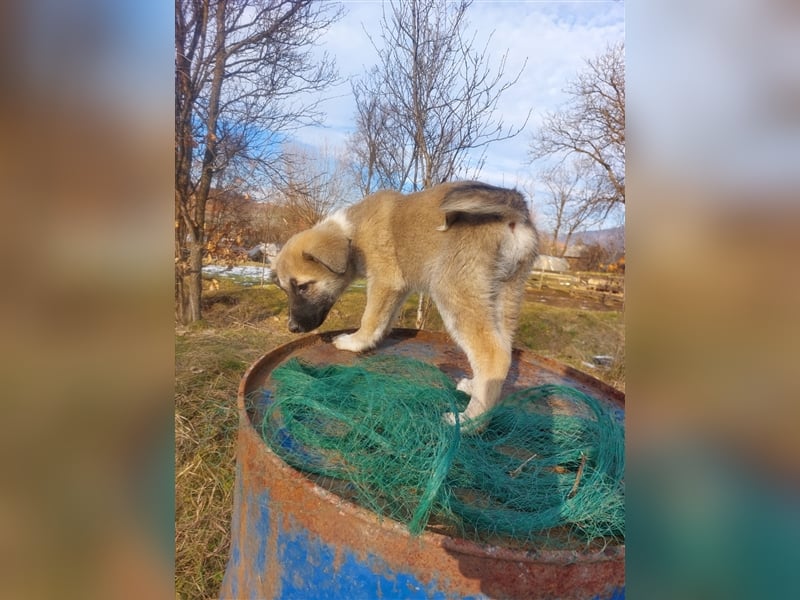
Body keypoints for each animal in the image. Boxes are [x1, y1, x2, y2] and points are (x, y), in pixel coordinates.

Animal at [272, 180, 540, 424]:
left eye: (303, 287)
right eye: (285, 290)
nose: (292, 328)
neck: (353, 233)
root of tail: (513, 210)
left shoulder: (384, 280)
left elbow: (370, 318)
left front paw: (355, 342)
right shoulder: (398, 288)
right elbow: (383, 320)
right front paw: (372, 341)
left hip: (454, 290)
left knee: (493, 356)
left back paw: (469, 421)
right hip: (504, 295)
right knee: (502, 350)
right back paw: (474, 388)